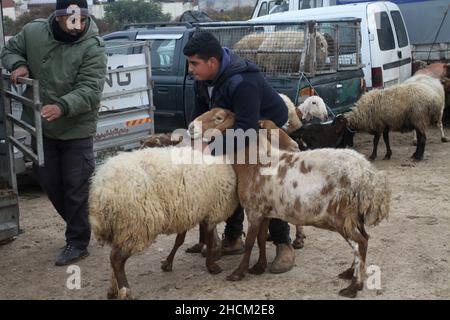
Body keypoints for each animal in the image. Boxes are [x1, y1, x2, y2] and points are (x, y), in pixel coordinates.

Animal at [89, 148, 241, 300]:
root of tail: (101, 191)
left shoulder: (188, 213)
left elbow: (180, 240)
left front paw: (168, 263)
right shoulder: (210, 213)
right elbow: (208, 242)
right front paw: (211, 266)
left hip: (121, 228)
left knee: (113, 258)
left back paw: (112, 289)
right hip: (136, 226)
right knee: (116, 258)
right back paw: (125, 291)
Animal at [192, 109, 392, 298]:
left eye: (218, 117)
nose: (191, 126)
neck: (253, 162)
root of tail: (367, 174)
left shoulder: (254, 210)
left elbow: (249, 243)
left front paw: (239, 272)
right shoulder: (265, 212)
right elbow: (261, 239)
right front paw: (259, 267)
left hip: (342, 216)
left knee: (360, 243)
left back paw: (354, 286)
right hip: (354, 214)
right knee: (364, 238)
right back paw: (350, 273)